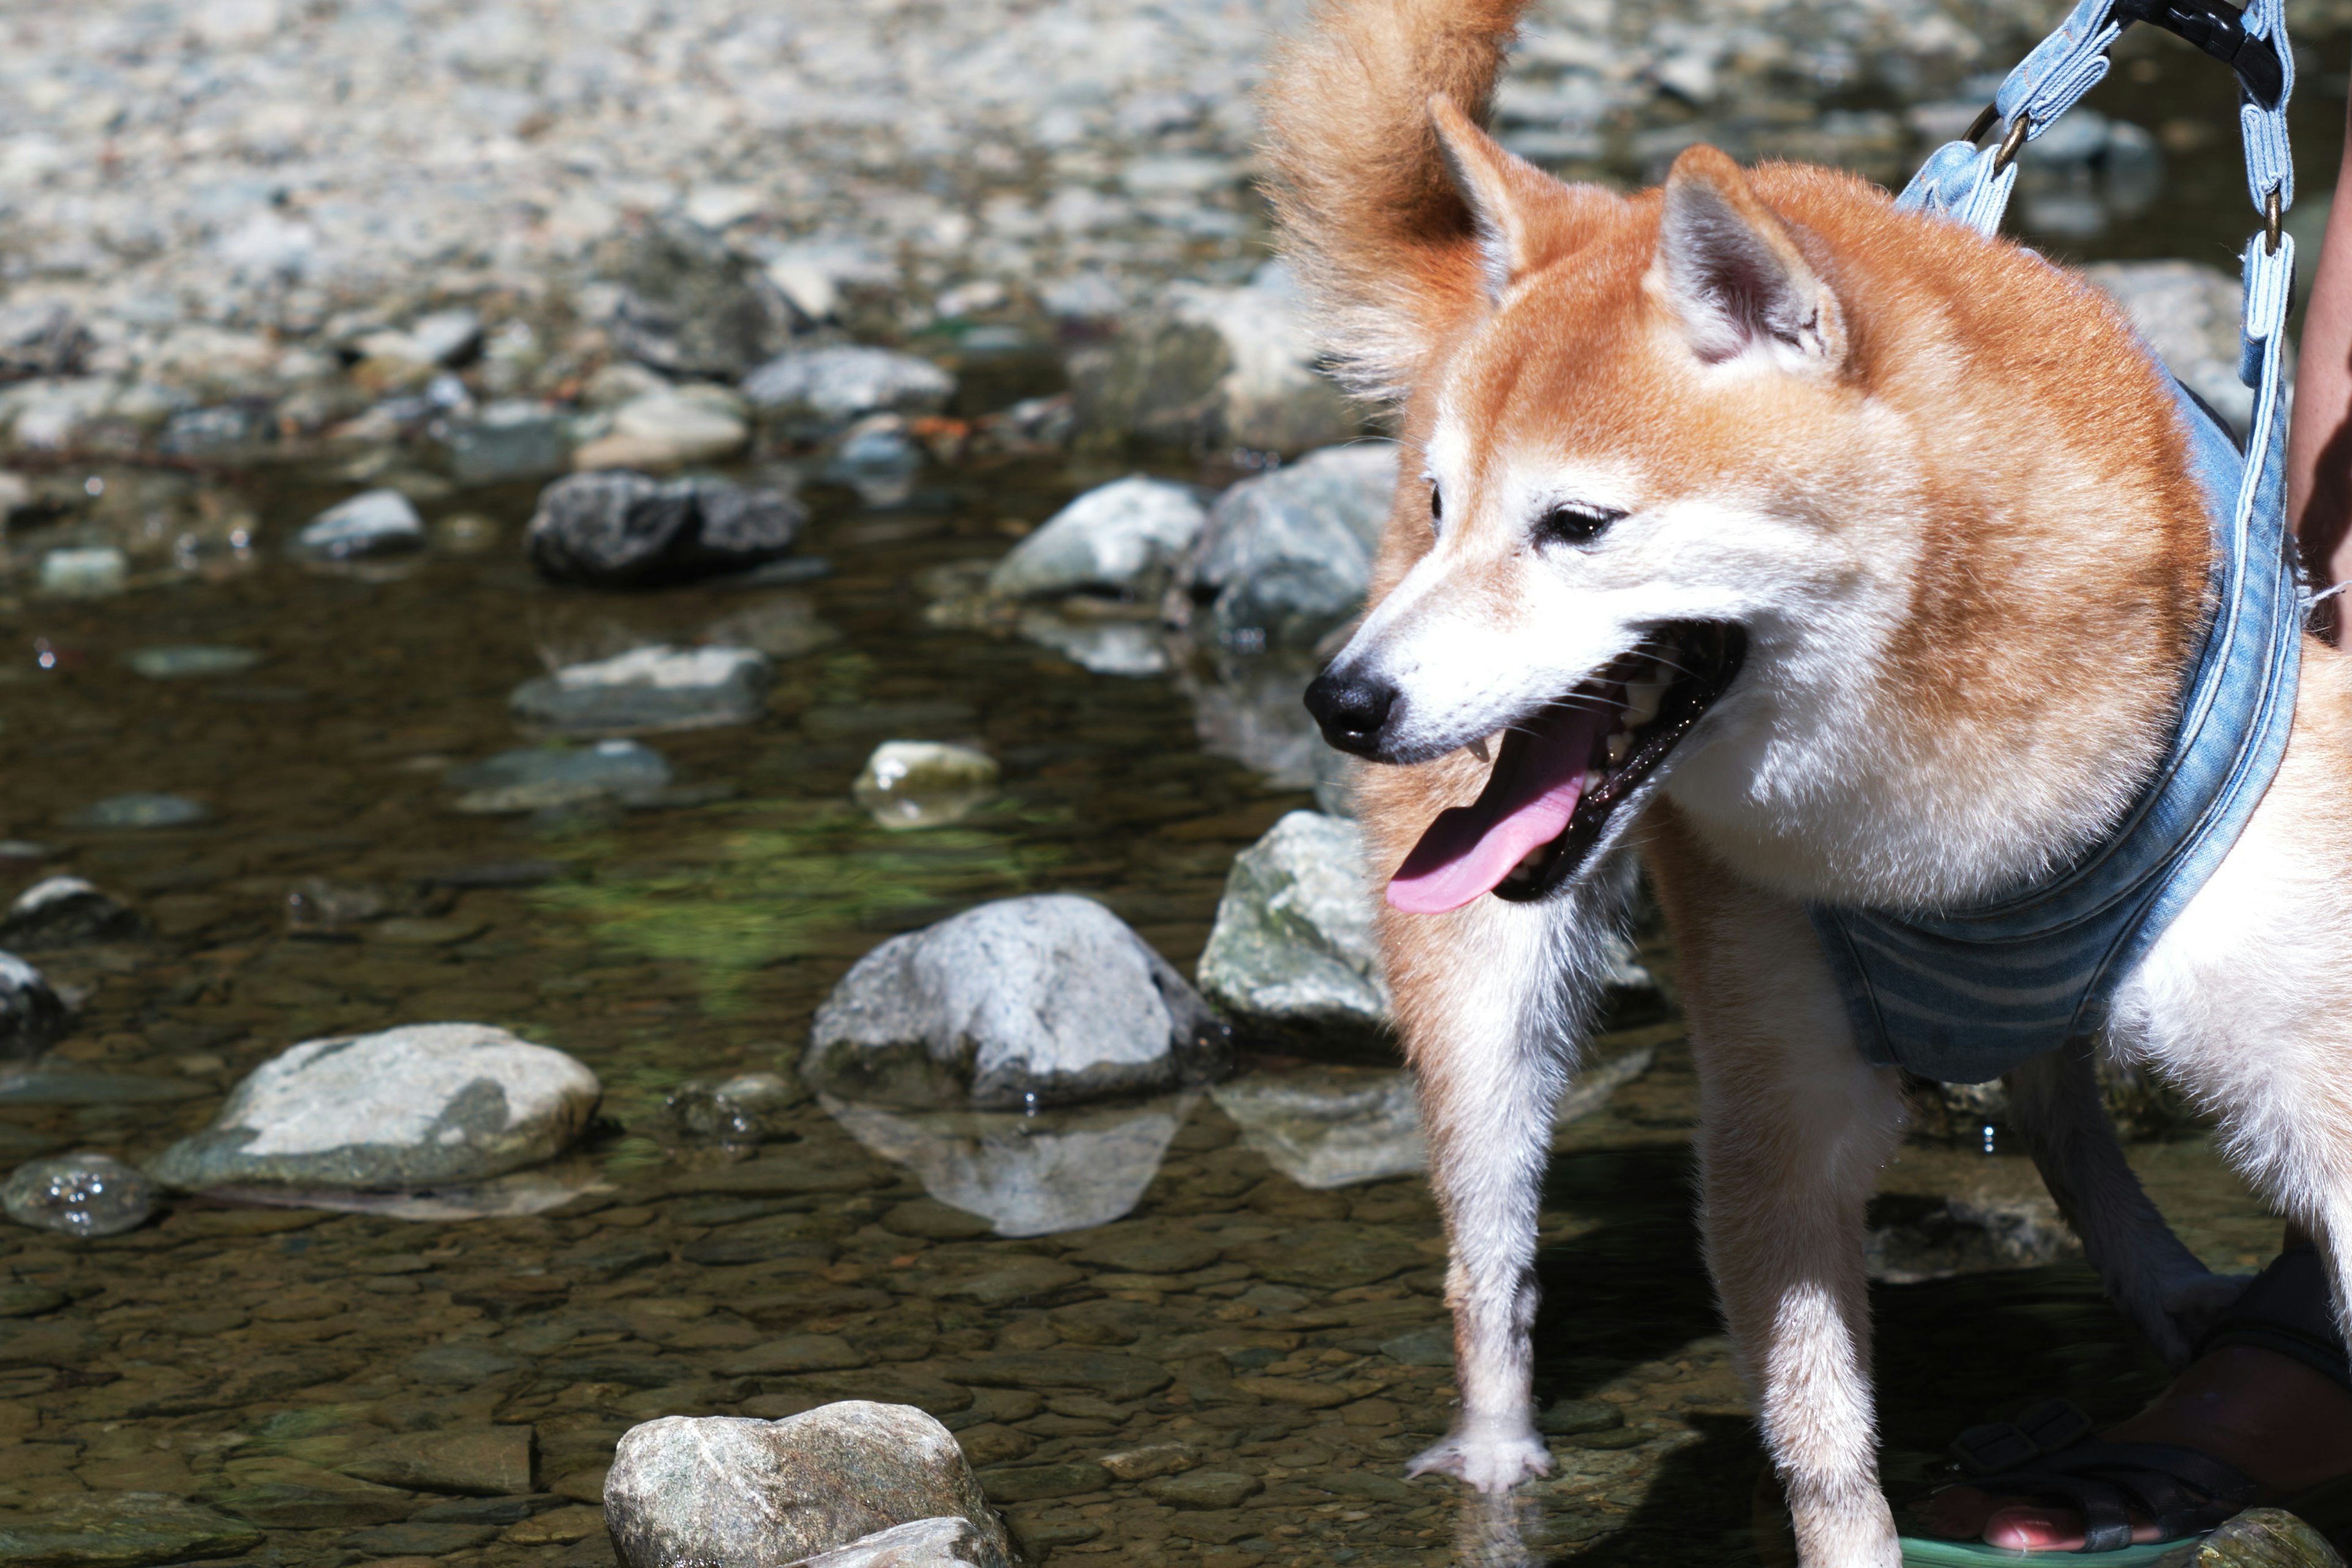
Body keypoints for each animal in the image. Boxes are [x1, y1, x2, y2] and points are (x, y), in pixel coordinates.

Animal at [1270, 0, 2352, 1561]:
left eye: (1576, 523)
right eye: (1440, 504)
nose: (1340, 700)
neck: (1951, 835)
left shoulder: (2315, 1057)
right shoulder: (1780, 1121)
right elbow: (1828, 1458)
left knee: (2055, 1105)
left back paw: (2158, 1284)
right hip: (1484, 996)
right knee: (1487, 1258)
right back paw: (1494, 1455)